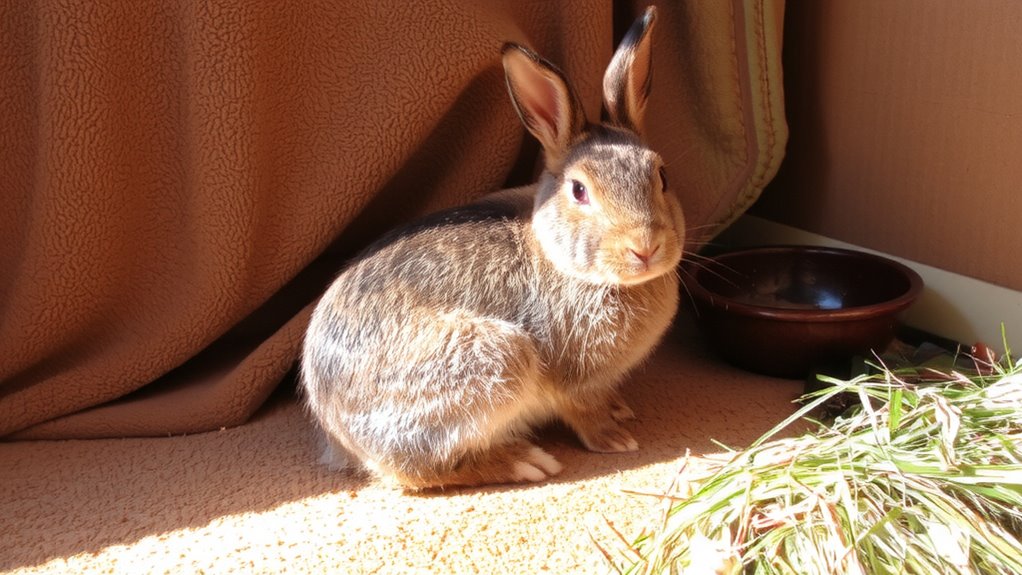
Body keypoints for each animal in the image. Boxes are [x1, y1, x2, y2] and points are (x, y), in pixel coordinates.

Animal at [301, 6, 685, 489]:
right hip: (496, 361)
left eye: (662, 176)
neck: (560, 260)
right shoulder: (572, 380)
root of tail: (336, 431)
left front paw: (620, 409)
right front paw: (615, 438)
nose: (645, 247)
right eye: (579, 190)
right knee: (414, 471)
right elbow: (582, 412)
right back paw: (526, 461)